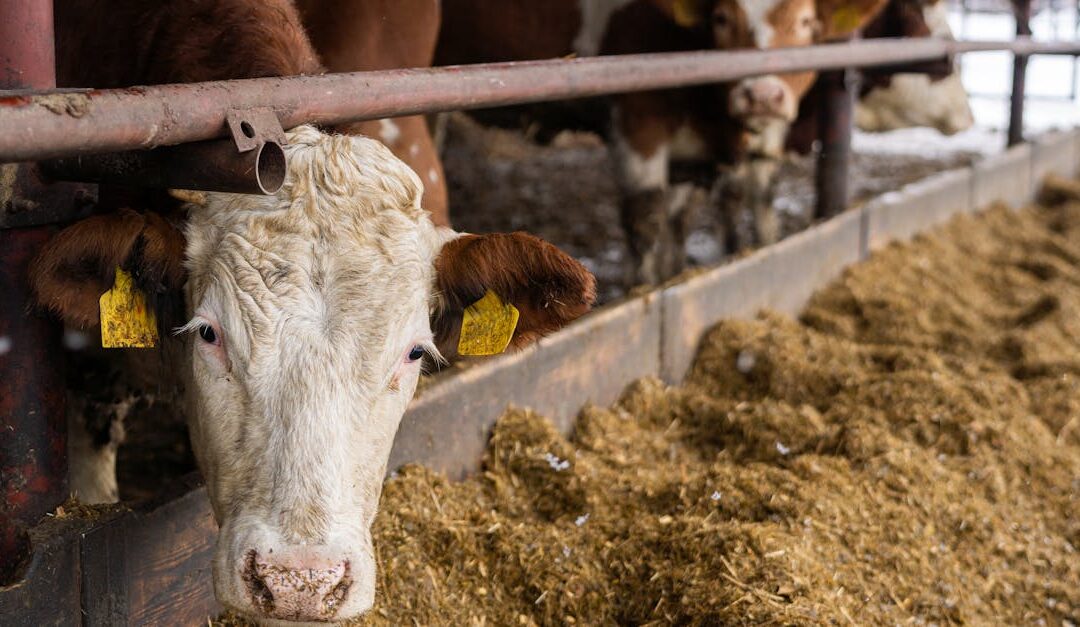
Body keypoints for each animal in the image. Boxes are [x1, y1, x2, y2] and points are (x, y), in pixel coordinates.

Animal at [436, 0, 887, 285]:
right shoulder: (639, 118)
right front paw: (643, 286)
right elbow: (646, 216)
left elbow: (681, 217)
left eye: (806, 22)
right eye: (721, 17)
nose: (761, 95)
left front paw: (675, 271)